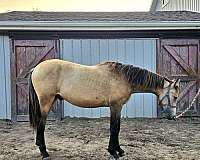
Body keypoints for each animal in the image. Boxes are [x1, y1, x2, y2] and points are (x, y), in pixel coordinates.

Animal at [28, 59, 180, 159]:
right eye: (175, 96)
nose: (173, 117)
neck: (123, 77)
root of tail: (36, 68)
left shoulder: (118, 107)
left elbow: (117, 128)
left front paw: (119, 150)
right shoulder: (115, 106)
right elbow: (114, 128)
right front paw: (113, 152)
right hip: (46, 102)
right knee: (41, 124)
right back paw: (44, 152)